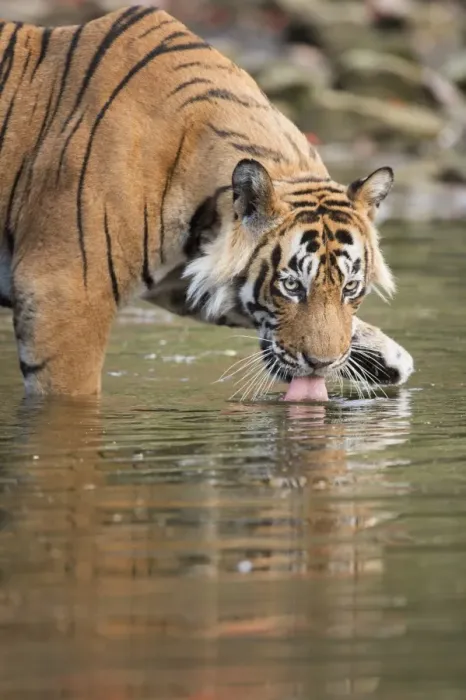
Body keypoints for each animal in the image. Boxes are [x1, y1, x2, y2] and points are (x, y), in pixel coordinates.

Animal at [0, 5, 413, 398]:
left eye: (350, 288)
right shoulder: (63, 294)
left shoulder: (183, 278)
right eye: (292, 286)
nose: (322, 364)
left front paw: (387, 357)